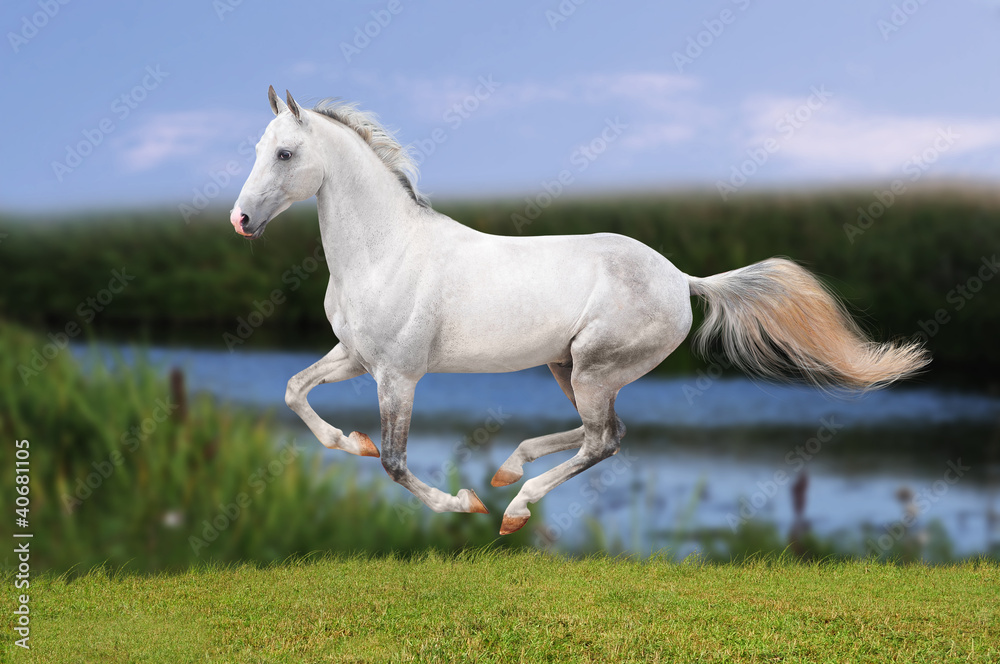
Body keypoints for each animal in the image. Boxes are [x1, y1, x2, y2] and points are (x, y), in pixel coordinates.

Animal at [230, 87, 930, 535]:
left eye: (286, 154)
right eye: (257, 147)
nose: (239, 221)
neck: (385, 251)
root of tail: (682, 278)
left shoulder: (397, 375)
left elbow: (397, 465)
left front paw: (464, 505)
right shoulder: (356, 358)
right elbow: (294, 390)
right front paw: (350, 442)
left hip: (595, 367)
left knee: (603, 439)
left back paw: (512, 508)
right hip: (568, 367)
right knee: (604, 433)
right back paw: (509, 471)